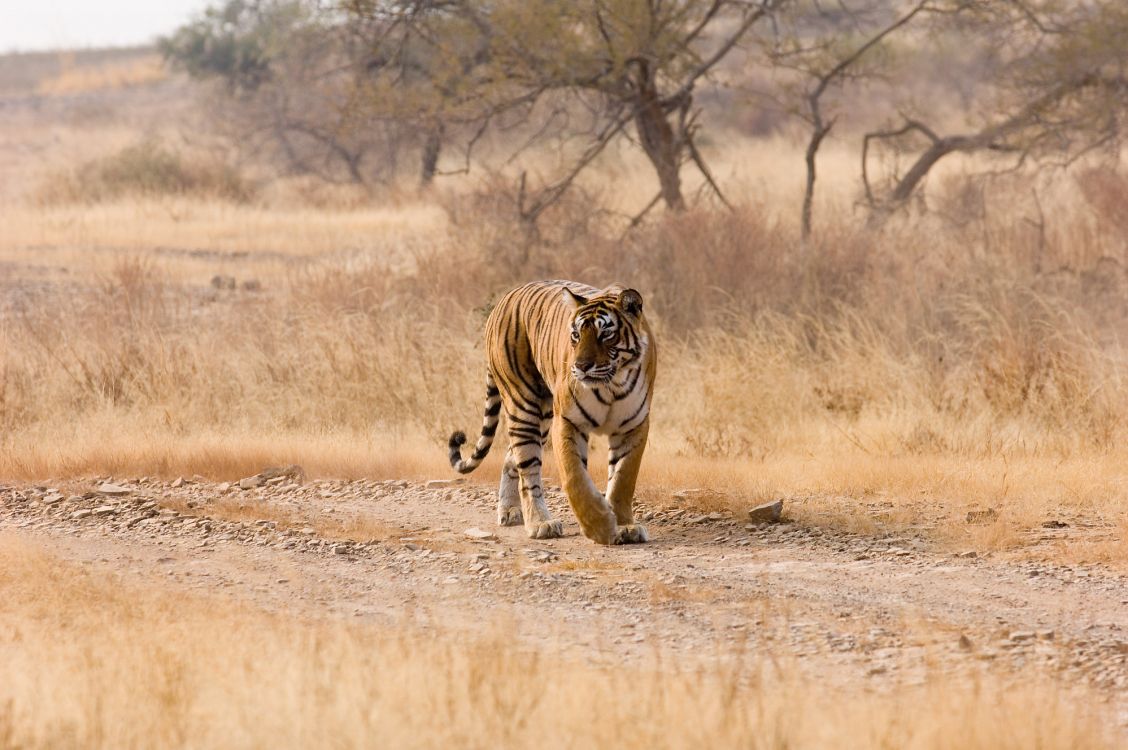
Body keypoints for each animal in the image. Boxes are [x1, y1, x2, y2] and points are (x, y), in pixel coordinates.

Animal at [446, 280, 658, 543]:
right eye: (576, 335)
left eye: (606, 334)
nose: (581, 366)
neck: (612, 386)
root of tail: (505, 297)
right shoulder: (567, 421)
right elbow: (575, 477)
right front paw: (599, 526)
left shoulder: (633, 425)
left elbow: (623, 479)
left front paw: (626, 527)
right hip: (524, 404)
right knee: (527, 470)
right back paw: (540, 523)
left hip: (543, 416)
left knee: (511, 457)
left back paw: (510, 511)